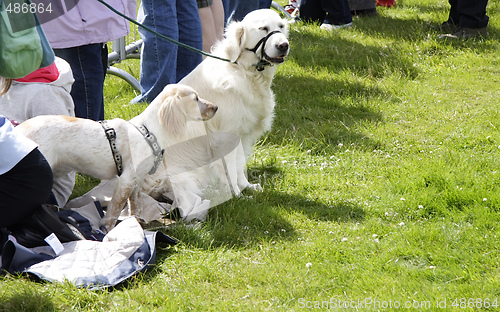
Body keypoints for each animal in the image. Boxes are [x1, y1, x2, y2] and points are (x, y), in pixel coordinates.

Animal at [17, 84, 217, 229]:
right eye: (196, 98)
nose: (216, 107)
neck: (148, 132)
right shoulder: (125, 180)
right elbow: (114, 211)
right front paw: (108, 230)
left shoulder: (137, 181)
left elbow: (135, 206)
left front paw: (137, 223)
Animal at [140, 9, 290, 214]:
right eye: (263, 28)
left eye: (281, 27)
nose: (284, 45)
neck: (243, 70)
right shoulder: (226, 137)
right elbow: (231, 172)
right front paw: (238, 196)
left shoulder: (241, 135)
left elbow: (239, 166)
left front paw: (247, 187)